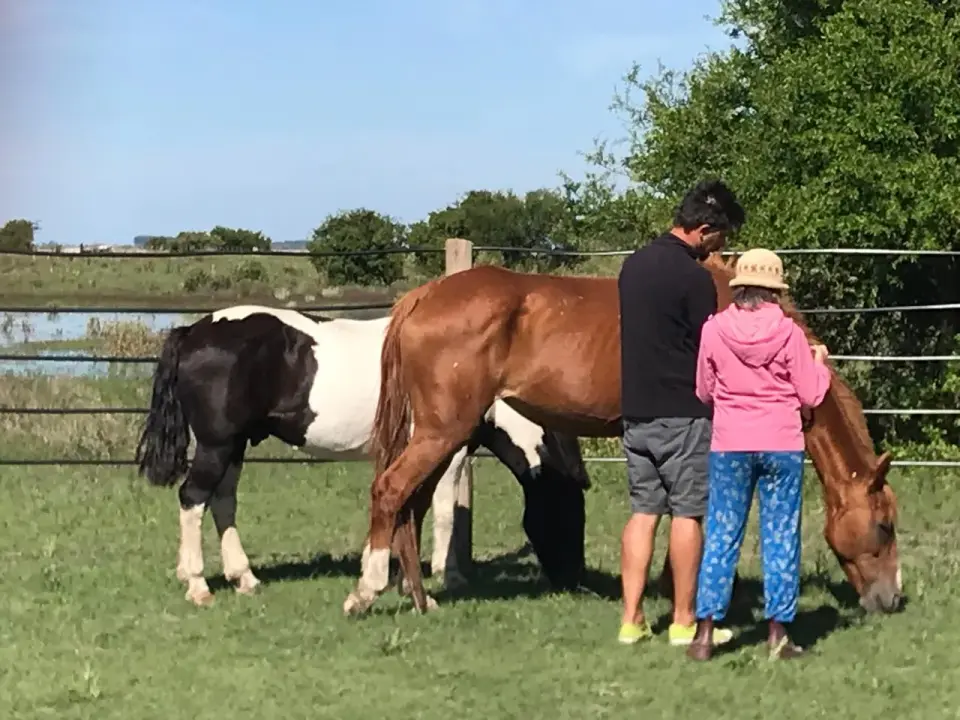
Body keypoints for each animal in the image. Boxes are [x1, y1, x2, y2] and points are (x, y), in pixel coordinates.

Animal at [134, 305, 590, 607]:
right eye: (570, 513)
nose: (575, 582)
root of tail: (194, 330)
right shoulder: (448, 449)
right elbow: (442, 509)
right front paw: (446, 576)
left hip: (235, 444)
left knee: (222, 501)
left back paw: (244, 577)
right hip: (218, 443)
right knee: (193, 498)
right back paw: (198, 584)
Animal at [344, 255, 902, 618]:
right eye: (885, 526)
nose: (892, 600)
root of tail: (422, 296)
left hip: (444, 434)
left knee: (412, 504)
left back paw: (421, 598)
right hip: (443, 430)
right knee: (390, 492)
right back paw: (367, 590)